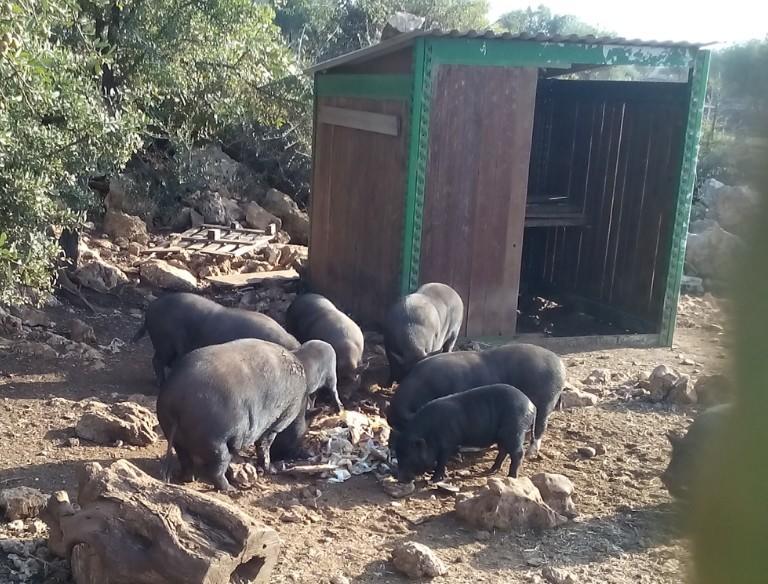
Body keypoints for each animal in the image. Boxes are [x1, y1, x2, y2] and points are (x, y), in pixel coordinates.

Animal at [157, 338, 336, 492]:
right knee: (217, 468)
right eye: (305, 428)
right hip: (214, 440)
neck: (301, 405)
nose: (306, 453)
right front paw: (270, 469)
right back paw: (230, 488)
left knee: (185, 458)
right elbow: (265, 444)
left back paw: (189, 478)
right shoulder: (279, 421)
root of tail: (177, 401)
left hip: (173, 432)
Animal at [396, 380, 536, 482]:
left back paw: (511, 477)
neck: (429, 434)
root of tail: (532, 405)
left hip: (515, 430)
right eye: (398, 455)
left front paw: (434, 479)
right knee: (503, 450)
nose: (399, 478)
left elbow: (441, 461)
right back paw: (491, 470)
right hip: (503, 435)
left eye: (409, 456)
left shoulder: (447, 443)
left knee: (518, 453)